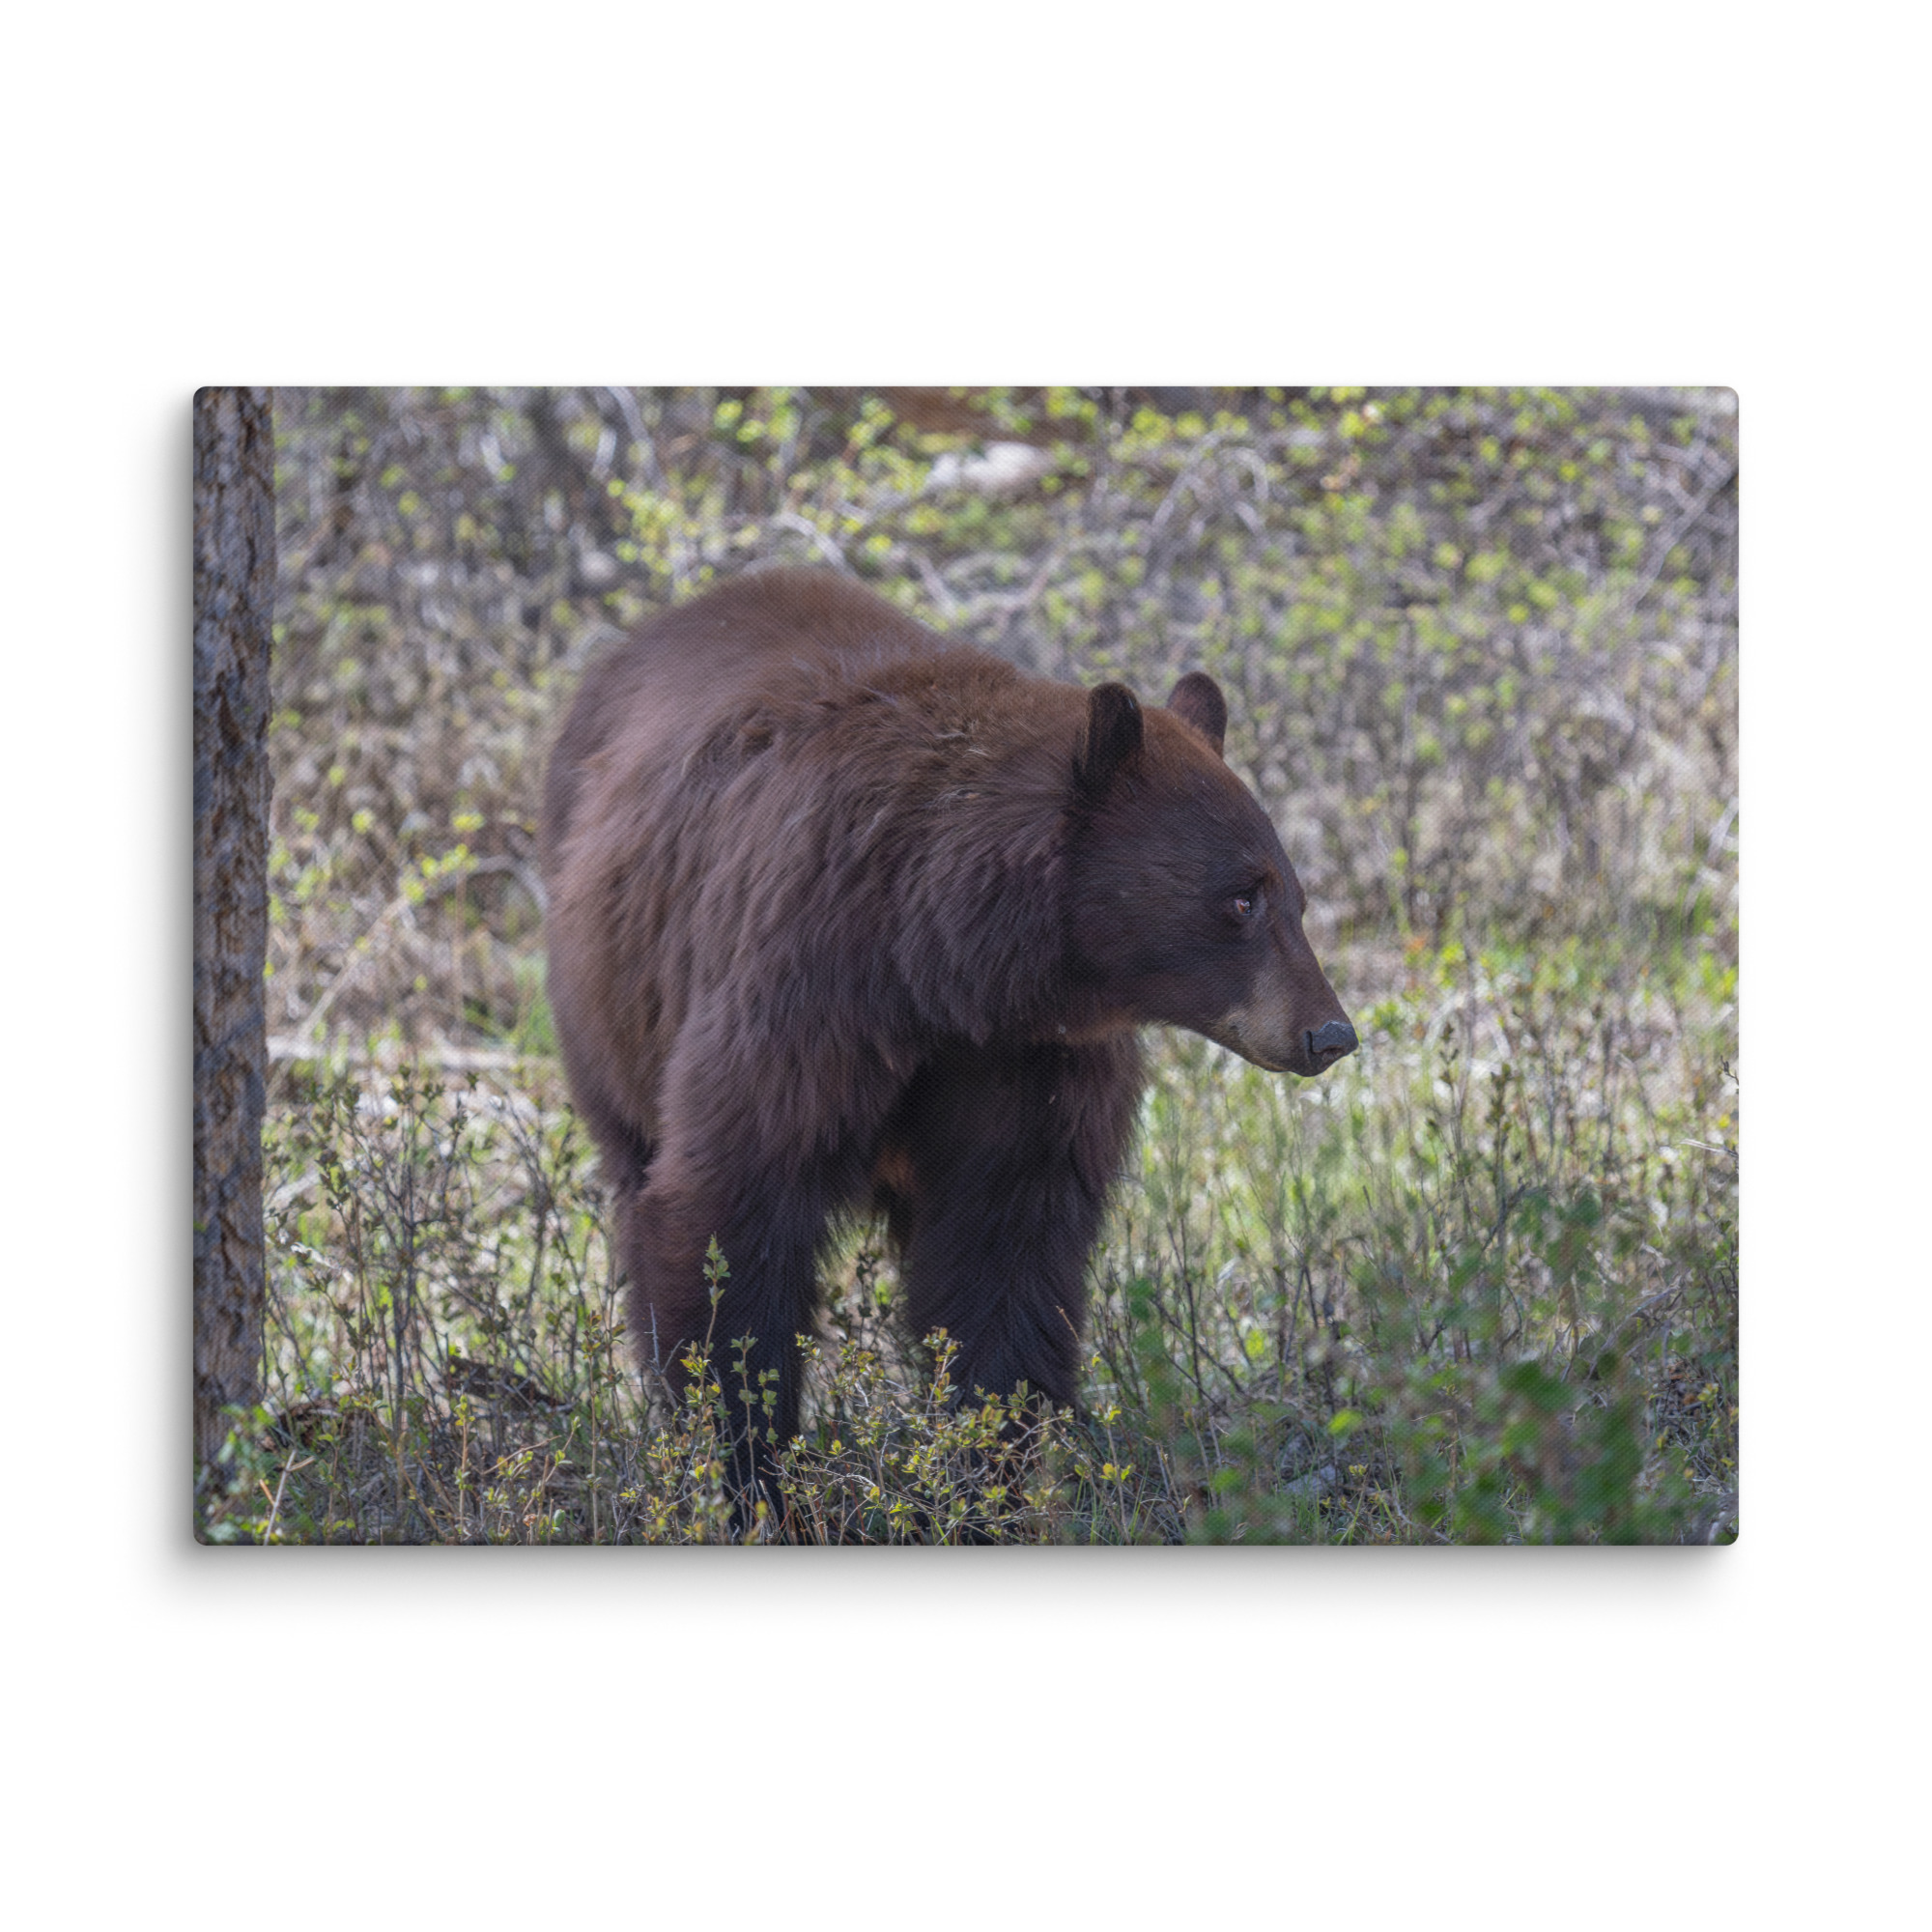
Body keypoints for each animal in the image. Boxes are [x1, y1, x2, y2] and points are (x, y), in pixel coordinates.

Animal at [540, 566, 1355, 1488]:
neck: (941, 964)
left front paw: (980, 1463)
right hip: (611, 1006)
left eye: (1296, 897)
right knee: (635, 1167)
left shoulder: (1029, 1060)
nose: (1330, 1034)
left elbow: (1005, 1247)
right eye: (1241, 899)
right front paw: (744, 1465)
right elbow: (732, 1206)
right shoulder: (805, 989)